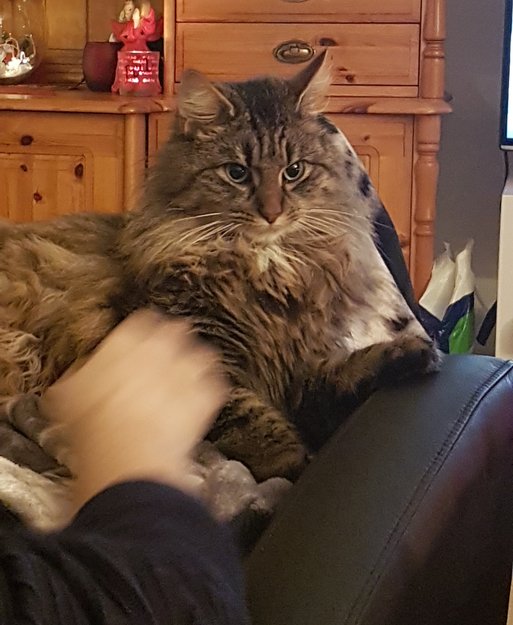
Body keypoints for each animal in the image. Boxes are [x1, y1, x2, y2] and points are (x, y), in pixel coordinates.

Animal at [0, 51, 441, 487]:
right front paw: (291, 466)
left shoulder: (298, 370)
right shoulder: (198, 357)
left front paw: (415, 355)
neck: (268, 270)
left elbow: (343, 375)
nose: (272, 213)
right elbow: (249, 419)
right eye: (237, 173)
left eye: (294, 171)